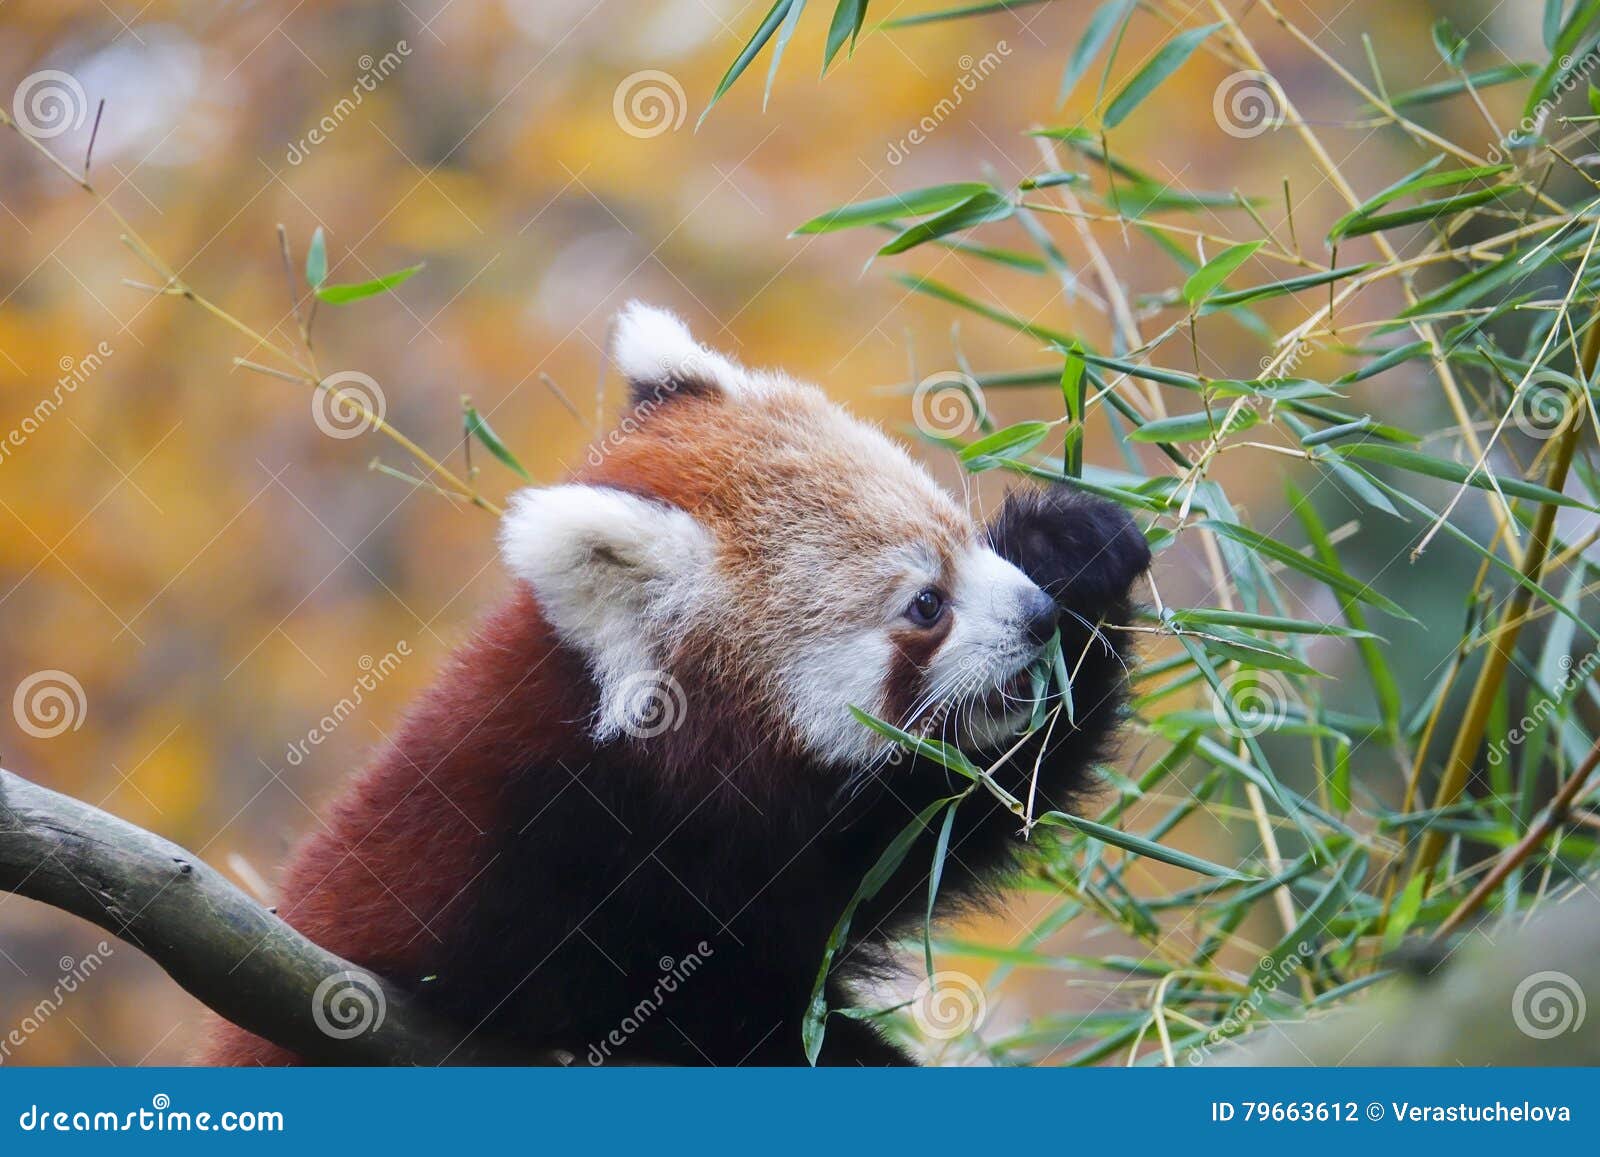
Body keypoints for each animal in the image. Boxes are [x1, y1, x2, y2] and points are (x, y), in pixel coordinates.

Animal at [203, 307, 1152, 1068]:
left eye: (964, 535)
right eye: (927, 604)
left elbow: (961, 807)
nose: (1035, 616)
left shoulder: (815, 843)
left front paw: (1075, 550)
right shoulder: (544, 860)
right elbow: (678, 1003)